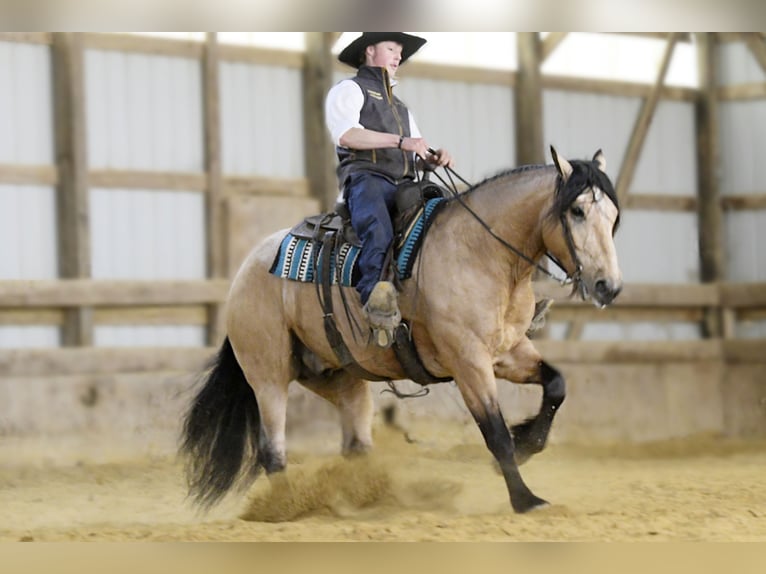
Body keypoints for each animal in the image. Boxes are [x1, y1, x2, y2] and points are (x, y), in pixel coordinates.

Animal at [182, 146, 624, 516]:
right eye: (577, 211)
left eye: (613, 218)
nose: (609, 286)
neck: (482, 253)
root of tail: (245, 272)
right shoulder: (469, 362)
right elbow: (495, 433)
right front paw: (525, 498)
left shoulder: (508, 352)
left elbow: (556, 385)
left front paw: (528, 443)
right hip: (268, 377)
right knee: (273, 451)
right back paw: (285, 507)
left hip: (339, 377)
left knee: (356, 444)